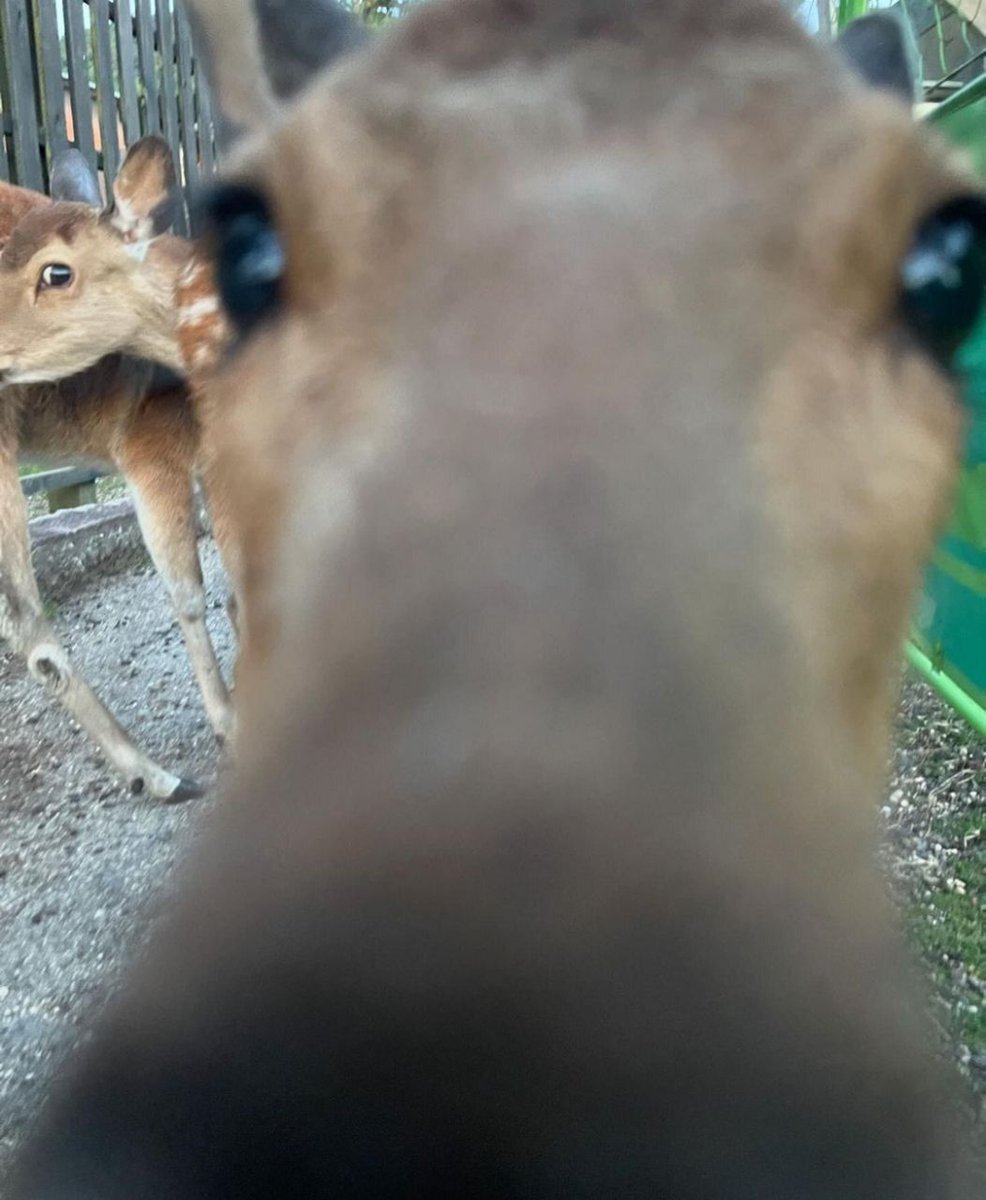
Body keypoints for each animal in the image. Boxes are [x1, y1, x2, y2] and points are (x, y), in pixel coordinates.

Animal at [0, 143, 236, 803]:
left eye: (56, 273)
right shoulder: (152, 448)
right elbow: (195, 590)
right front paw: (232, 722)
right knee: (30, 630)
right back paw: (158, 776)